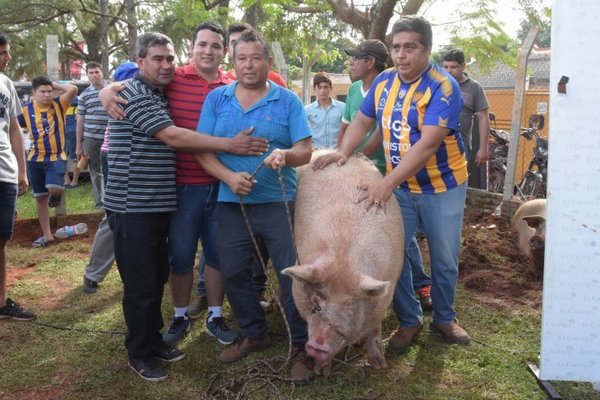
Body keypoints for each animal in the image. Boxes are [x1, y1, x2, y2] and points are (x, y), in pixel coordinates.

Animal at [280, 149, 404, 376]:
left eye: (350, 304)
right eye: (316, 301)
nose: (317, 345)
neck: (342, 258)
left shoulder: (385, 296)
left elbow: (374, 329)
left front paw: (379, 366)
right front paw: (321, 372)